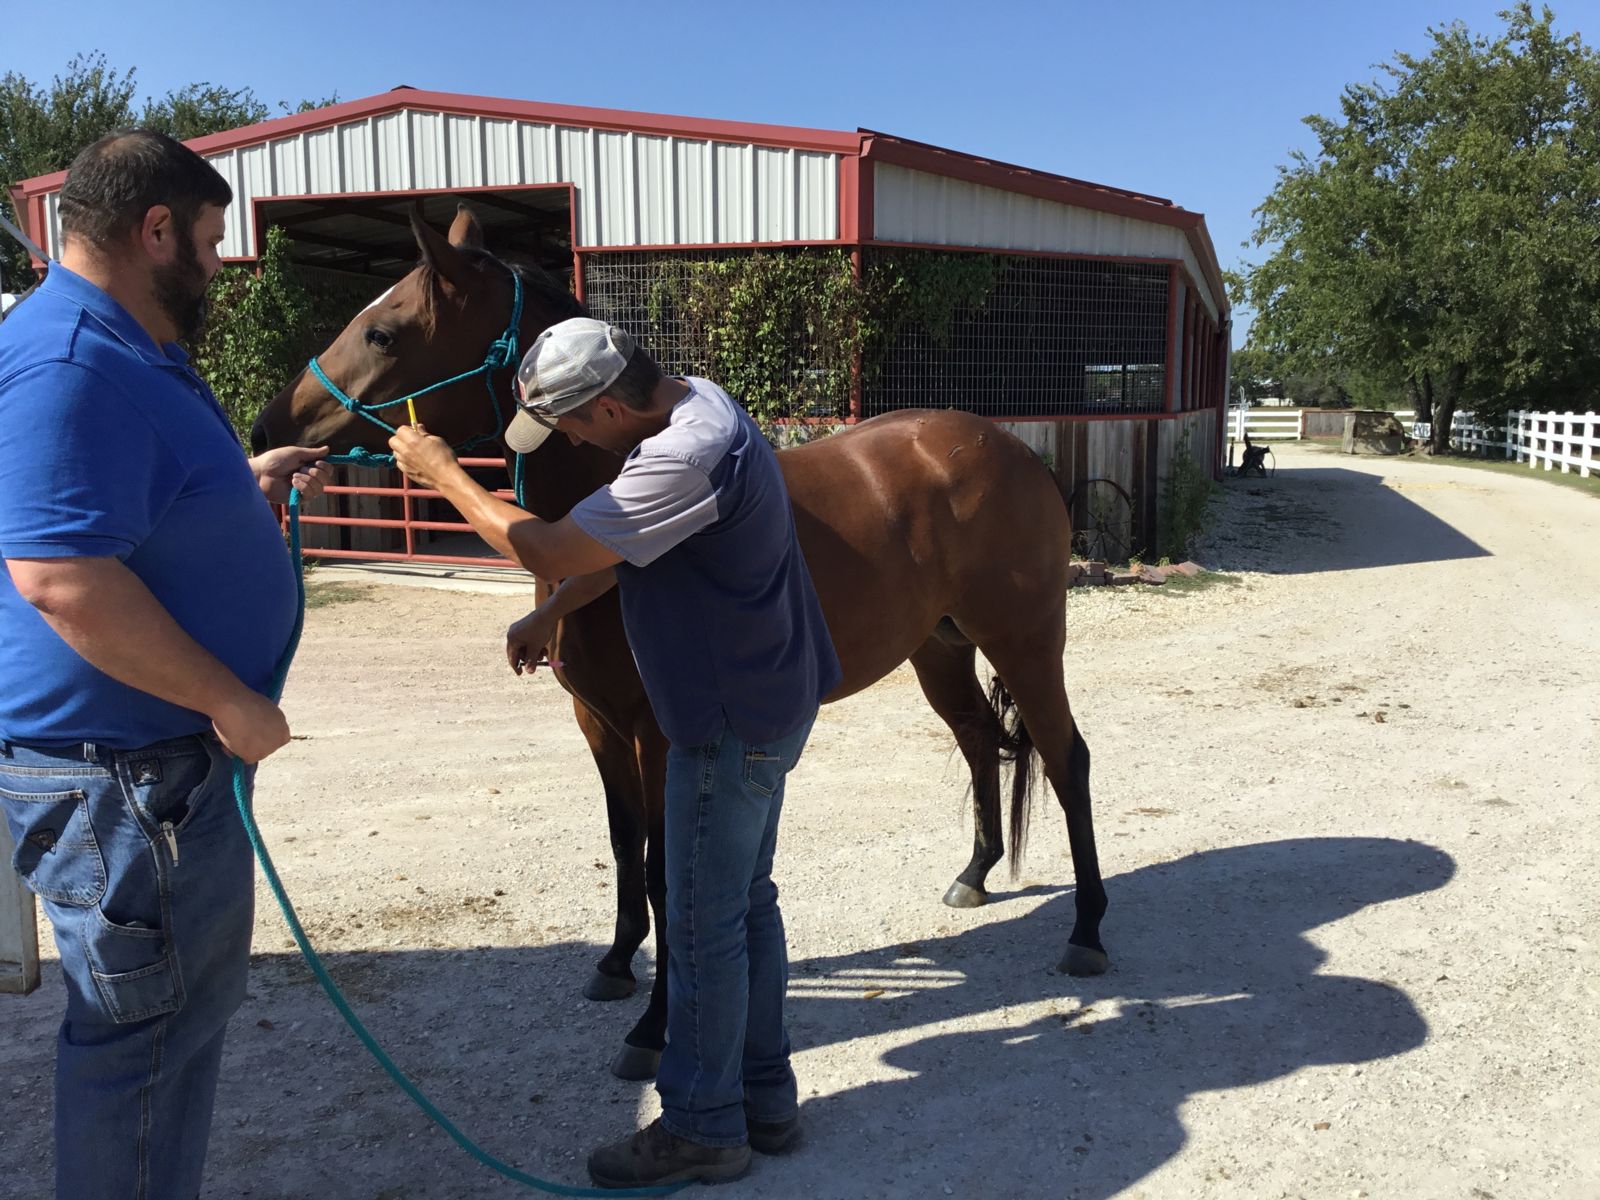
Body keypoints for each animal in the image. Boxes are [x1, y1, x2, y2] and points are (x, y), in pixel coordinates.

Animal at [249, 206, 1107, 1081]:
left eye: (382, 333)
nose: (267, 426)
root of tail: (1008, 449)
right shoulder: (598, 724)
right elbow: (625, 846)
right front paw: (615, 964)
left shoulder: (663, 735)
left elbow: (668, 872)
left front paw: (656, 1026)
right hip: (939, 649)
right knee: (978, 741)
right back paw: (974, 875)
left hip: (1026, 642)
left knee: (1065, 759)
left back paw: (1087, 931)